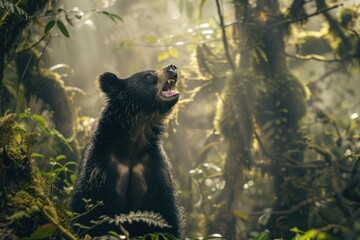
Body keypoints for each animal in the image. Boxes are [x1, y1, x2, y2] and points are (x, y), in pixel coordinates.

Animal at [70, 64, 183, 238]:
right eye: (148, 75)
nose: (172, 67)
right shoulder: (101, 171)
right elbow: (89, 214)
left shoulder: (153, 169)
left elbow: (165, 216)